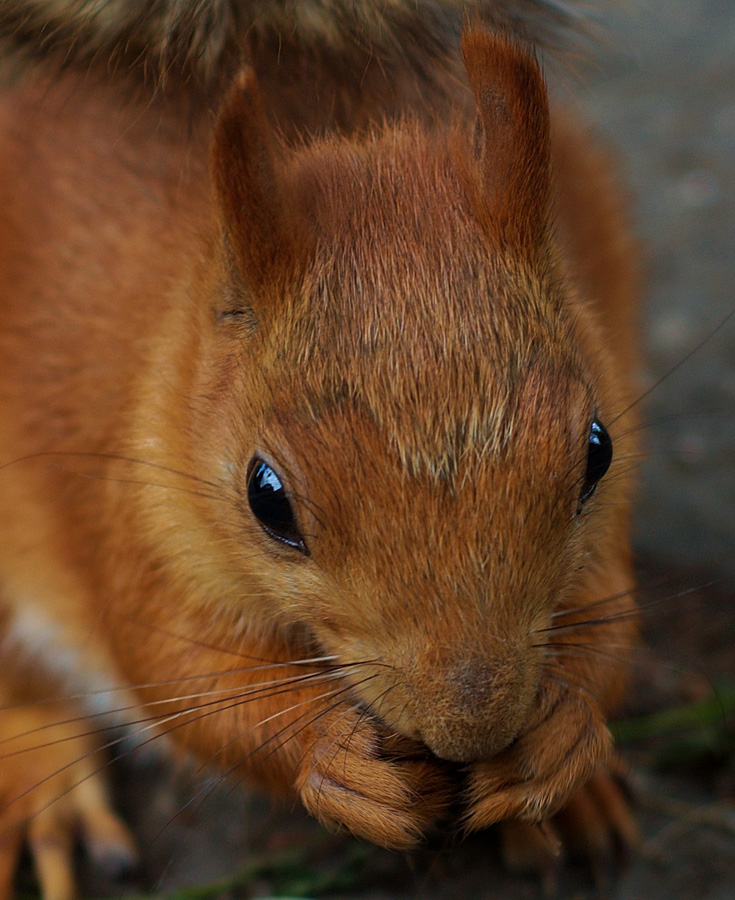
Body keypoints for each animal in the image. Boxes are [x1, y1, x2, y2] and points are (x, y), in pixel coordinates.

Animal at [0, 3, 640, 896]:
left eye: (595, 452)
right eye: (267, 499)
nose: (471, 729)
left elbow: (612, 624)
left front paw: (559, 747)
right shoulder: (130, 519)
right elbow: (183, 674)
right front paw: (336, 759)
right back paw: (43, 794)